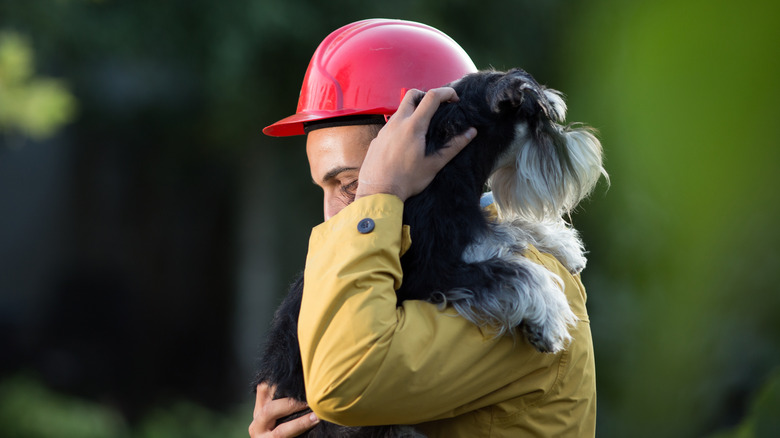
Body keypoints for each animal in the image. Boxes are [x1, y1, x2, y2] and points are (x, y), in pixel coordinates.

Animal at [253, 66, 608, 436]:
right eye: (542, 118)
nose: (587, 148)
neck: (445, 171)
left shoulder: (471, 228)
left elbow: (509, 229)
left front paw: (563, 246)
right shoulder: (431, 271)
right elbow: (517, 271)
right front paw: (548, 318)